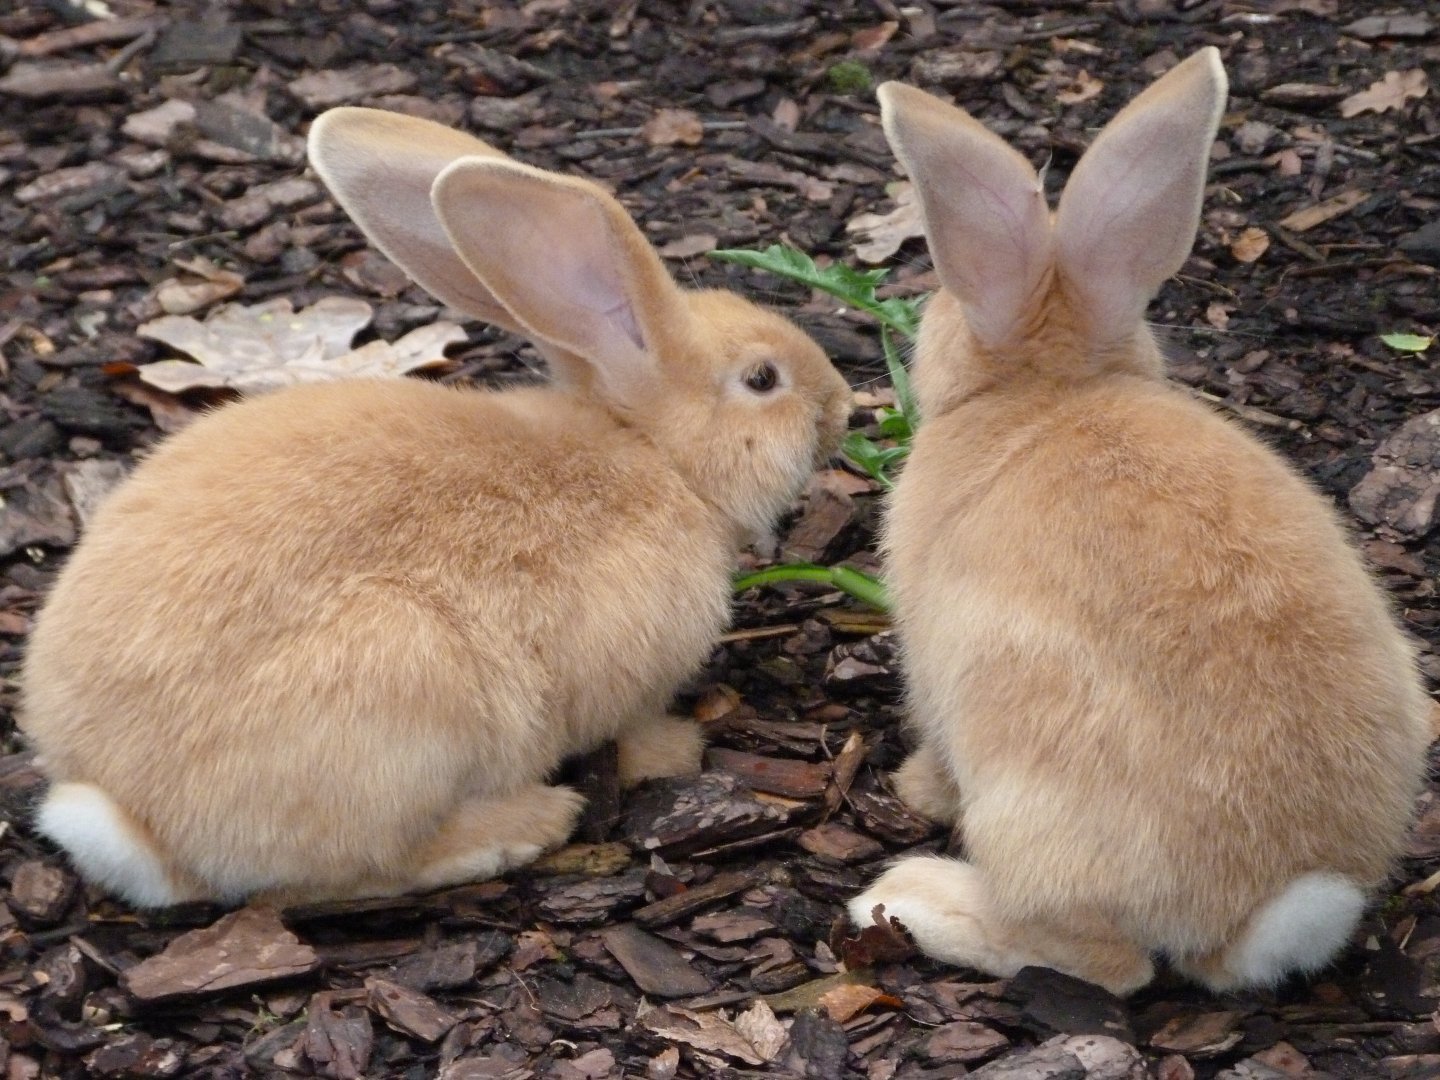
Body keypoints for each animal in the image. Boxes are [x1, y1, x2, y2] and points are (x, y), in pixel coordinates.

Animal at [19, 107, 854, 909]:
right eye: (762, 378)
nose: (842, 403)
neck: (652, 452)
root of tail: (132, 821)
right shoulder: (632, 678)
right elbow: (636, 731)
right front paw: (678, 751)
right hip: (403, 689)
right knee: (352, 875)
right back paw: (524, 826)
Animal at [846, 47, 1432, 996]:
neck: (1048, 387)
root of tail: (1269, 908)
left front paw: (916, 788)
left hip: (1025, 767)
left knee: (1105, 963)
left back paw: (912, 900)